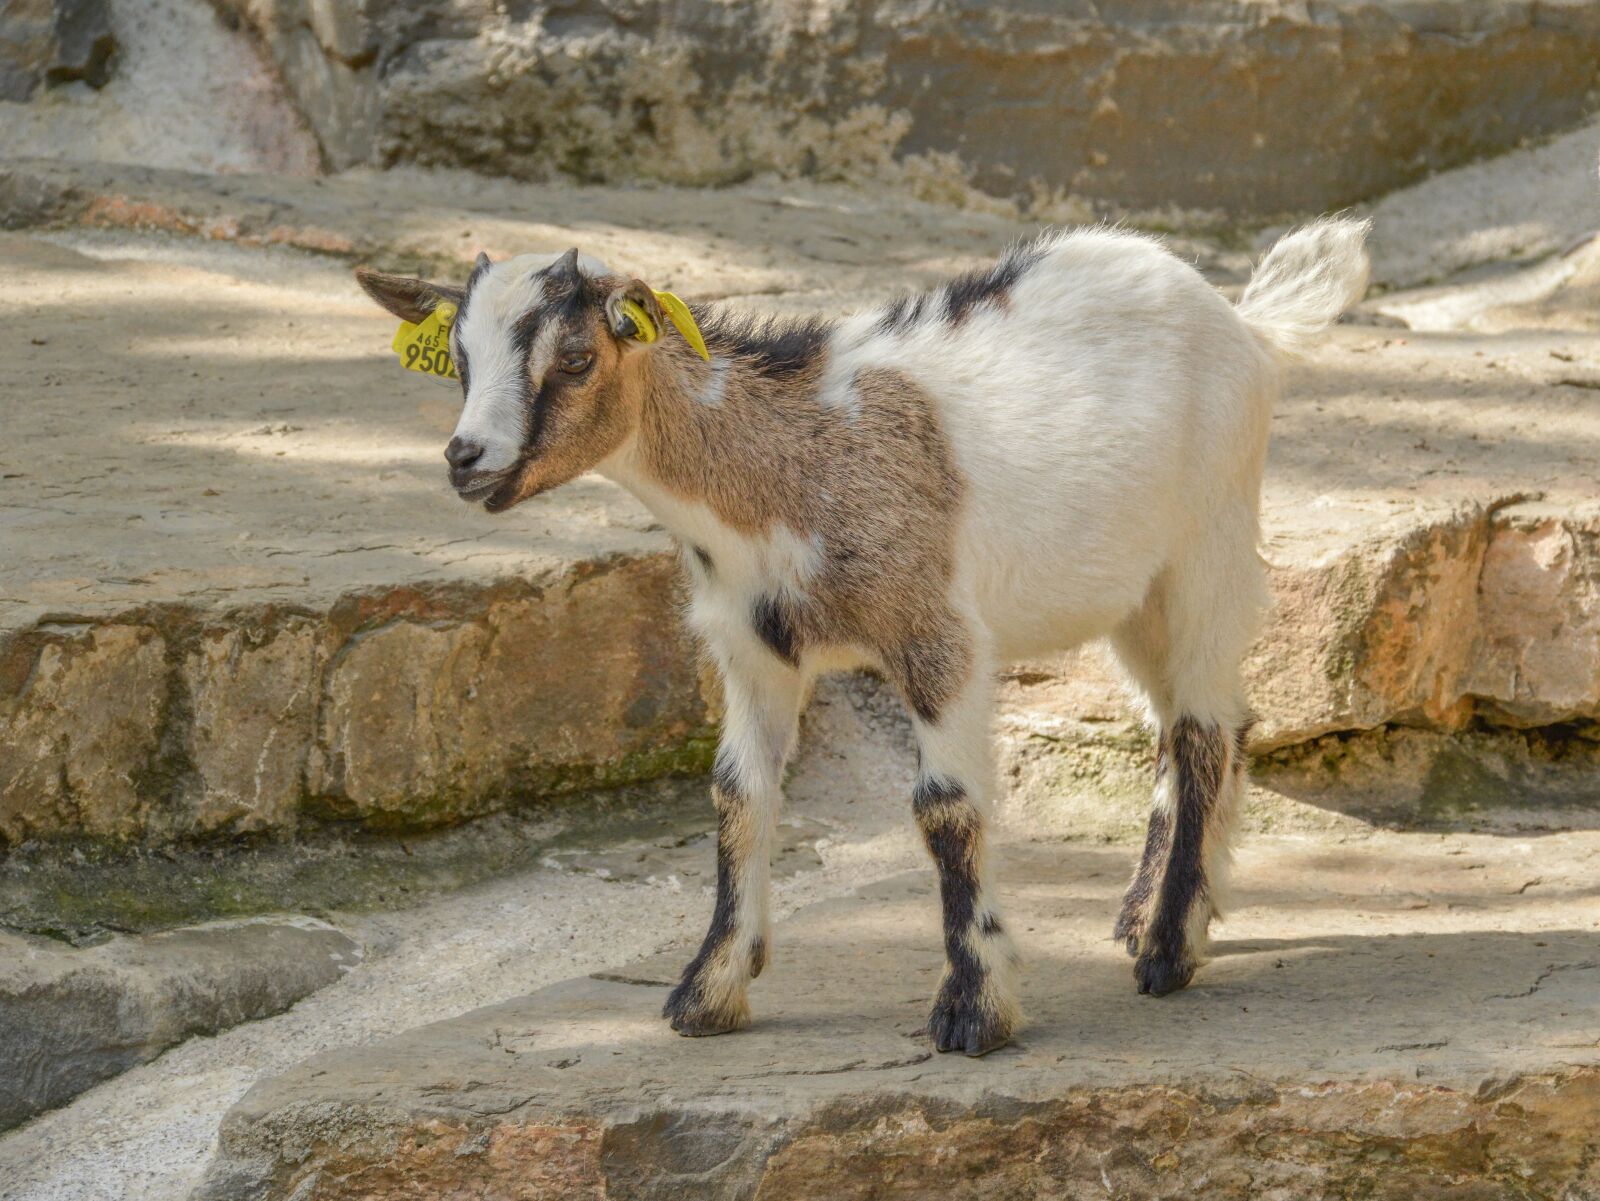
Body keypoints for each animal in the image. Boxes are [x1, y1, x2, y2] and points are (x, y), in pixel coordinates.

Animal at [356, 218, 1371, 1055]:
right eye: (456, 356)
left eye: (574, 357)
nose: (466, 460)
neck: (792, 465)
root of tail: (1245, 322)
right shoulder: (753, 652)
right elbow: (736, 797)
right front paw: (708, 990)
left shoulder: (935, 635)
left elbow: (947, 807)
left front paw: (974, 1009)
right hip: (1131, 594)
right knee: (1196, 723)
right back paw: (1147, 914)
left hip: (1206, 545)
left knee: (1200, 730)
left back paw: (1166, 950)